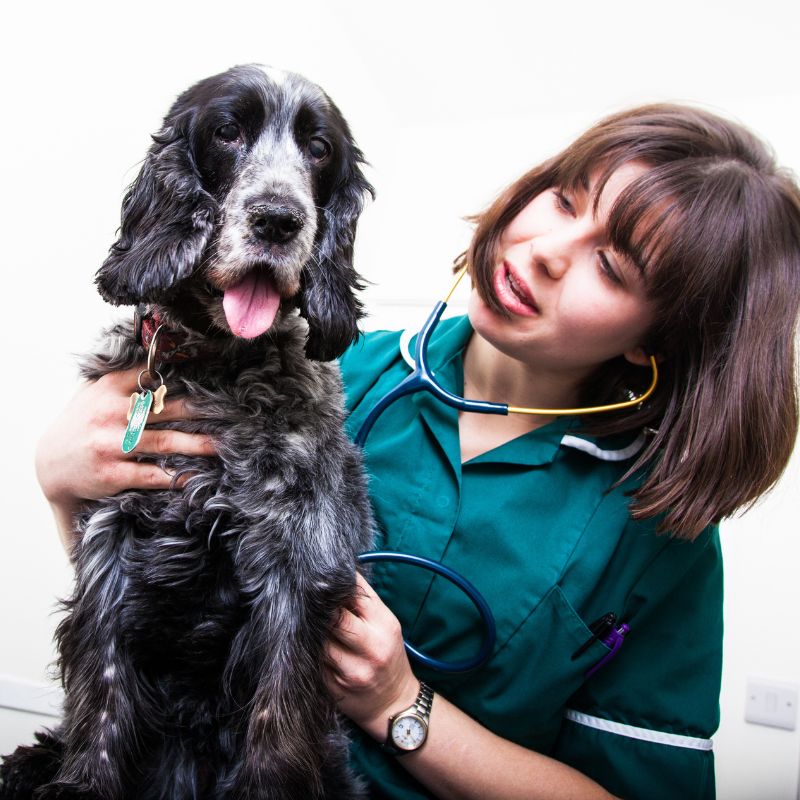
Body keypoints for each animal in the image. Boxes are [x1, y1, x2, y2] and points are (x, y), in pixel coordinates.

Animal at [0, 64, 376, 800]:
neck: (215, 368)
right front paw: (82, 782)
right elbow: (102, 698)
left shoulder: (298, 561)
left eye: (318, 149)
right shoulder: (110, 542)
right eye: (228, 131)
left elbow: (276, 724)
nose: (278, 219)